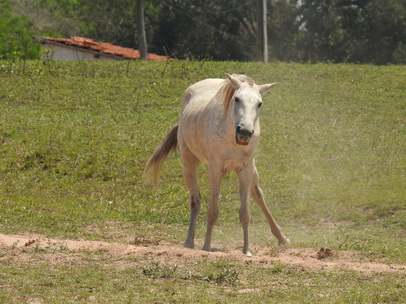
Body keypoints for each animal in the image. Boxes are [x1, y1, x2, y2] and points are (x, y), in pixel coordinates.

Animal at [144, 74, 290, 256]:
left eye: (259, 103)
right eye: (237, 98)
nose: (245, 132)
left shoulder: (246, 170)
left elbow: (245, 212)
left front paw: (247, 250)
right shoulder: (215, 170)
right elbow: (212, 211)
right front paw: (206, 246)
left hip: (252, 172)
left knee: (257, 195)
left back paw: (281, 237)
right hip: (189, 164)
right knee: (195, 202)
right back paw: (189, 242)